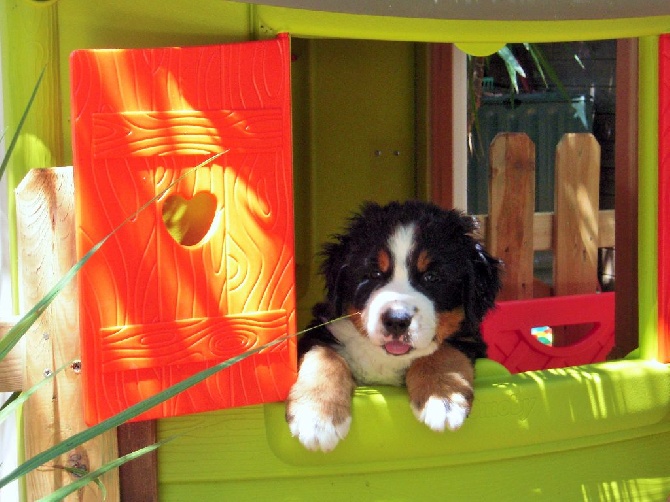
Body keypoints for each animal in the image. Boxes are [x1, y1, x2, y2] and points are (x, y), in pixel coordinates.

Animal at [286, 200, 502, 452]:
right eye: (374, 273)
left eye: (432, 277)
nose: (397, 321)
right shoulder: (321, 329)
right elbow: (325, 357)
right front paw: (317, 417)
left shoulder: (468, 337)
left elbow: (442, 353)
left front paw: (443, 397)